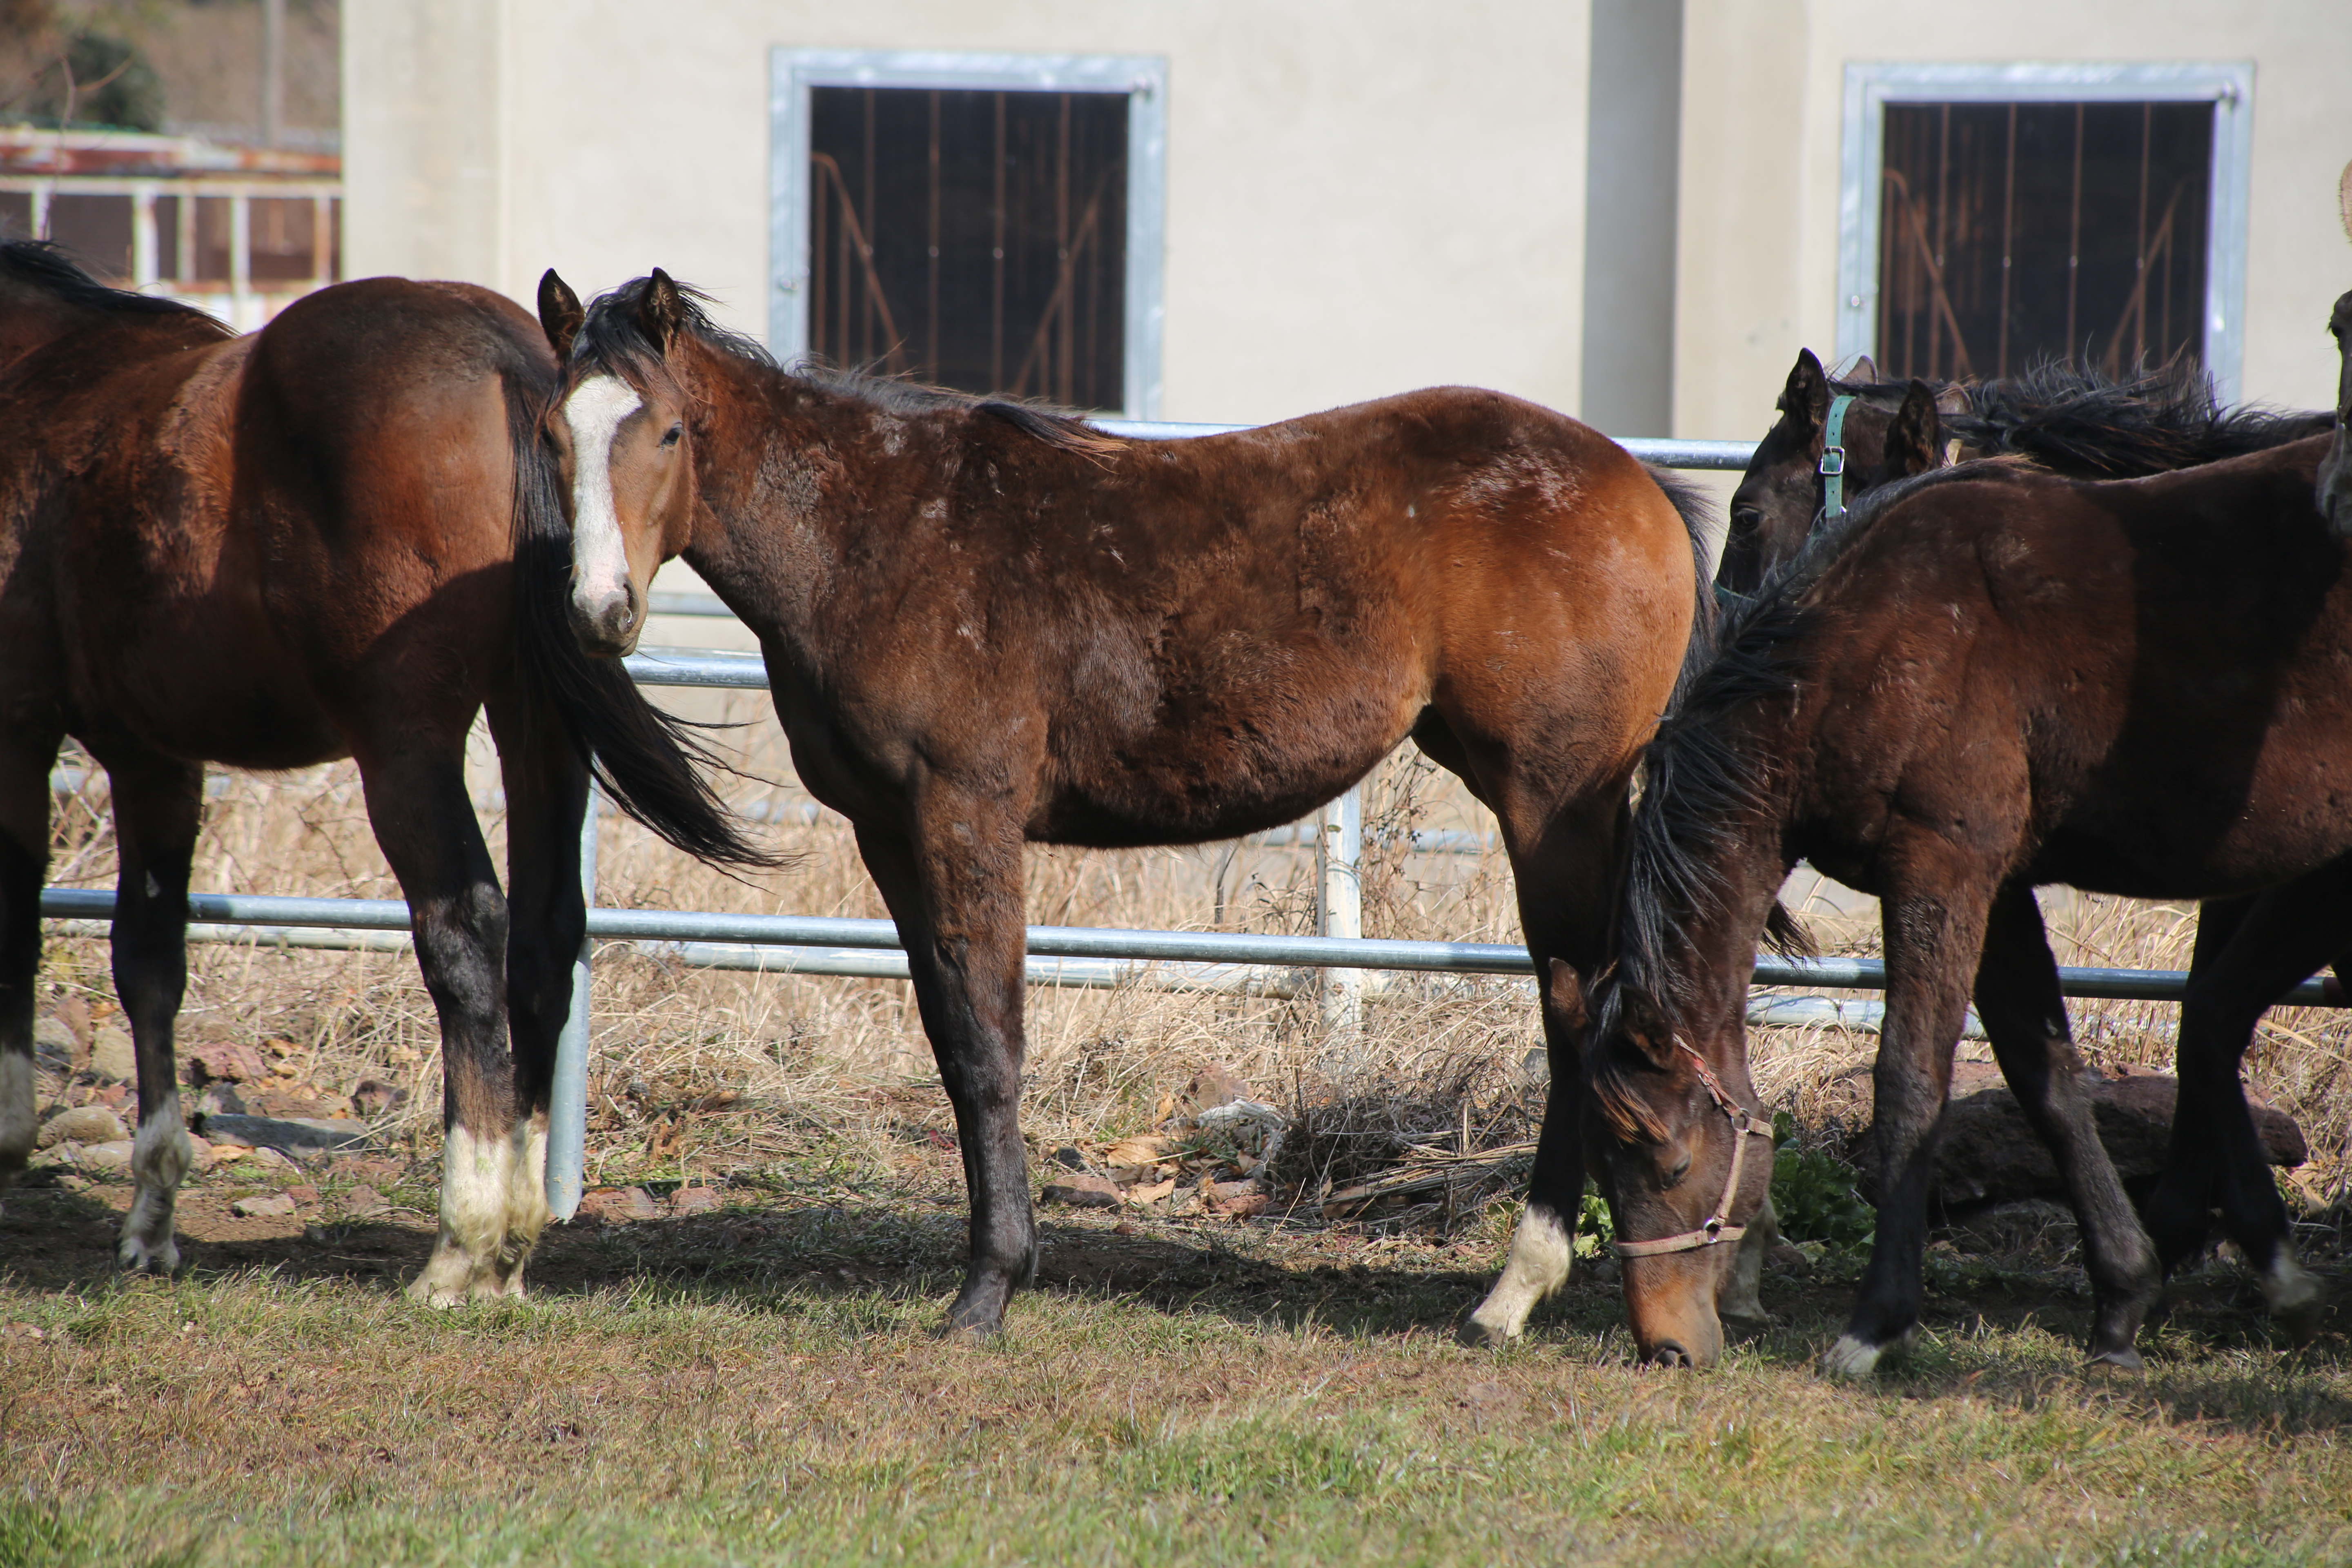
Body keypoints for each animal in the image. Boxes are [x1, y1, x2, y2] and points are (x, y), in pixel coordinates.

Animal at [0, 245, 766, 1297]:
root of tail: (497, 349)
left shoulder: (26, 727)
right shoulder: (156, 755)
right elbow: (149, 959)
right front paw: (153, 1213)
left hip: (405, 743)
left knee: (466, 932)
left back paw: (464, 1240)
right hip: (534, 725)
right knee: (544, 932)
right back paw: (511, 1241)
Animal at [534, 270, 1712, 1335]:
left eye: (671, 431)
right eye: (553, 435)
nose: (599, 611)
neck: (872, 535)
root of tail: (1639, 485)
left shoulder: (964, 813)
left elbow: (991, 1044)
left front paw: (988, 1288)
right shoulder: (890, 834)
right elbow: (951, 1045)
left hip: (1551, 806)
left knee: (1574, 1010)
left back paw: (1515, 1291)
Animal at [1571, 430, 2342, 1373]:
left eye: (1672, 1164)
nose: (1668, 1346)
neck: (1865, 647)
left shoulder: (1941, 871)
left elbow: (1910, 1083)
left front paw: (1877, 1323)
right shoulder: (1999, 894)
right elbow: (2046, 1080)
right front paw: (2122, 1298)